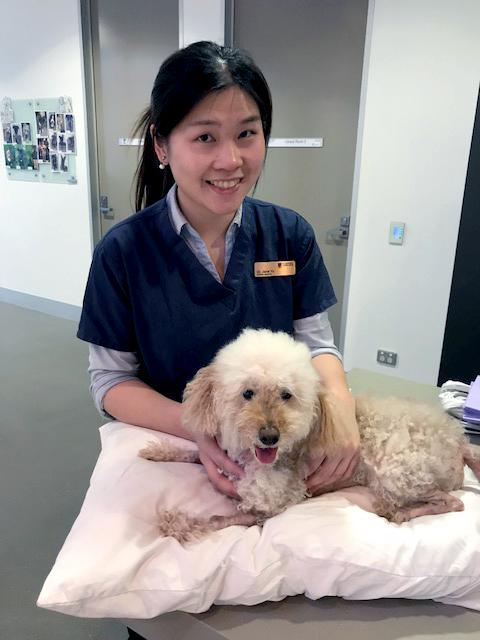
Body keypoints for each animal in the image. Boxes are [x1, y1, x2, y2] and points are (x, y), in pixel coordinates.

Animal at [140, 328, 480, 544]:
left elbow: (218, 520)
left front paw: (177, 523)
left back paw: (400, 512)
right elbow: (196, 454)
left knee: (452, 502)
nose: (270, 436)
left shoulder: (271, 507)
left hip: (399, 472)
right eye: (247, 393)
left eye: (286, 395)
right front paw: (160, 451)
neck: (252, 459)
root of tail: (460, 441)